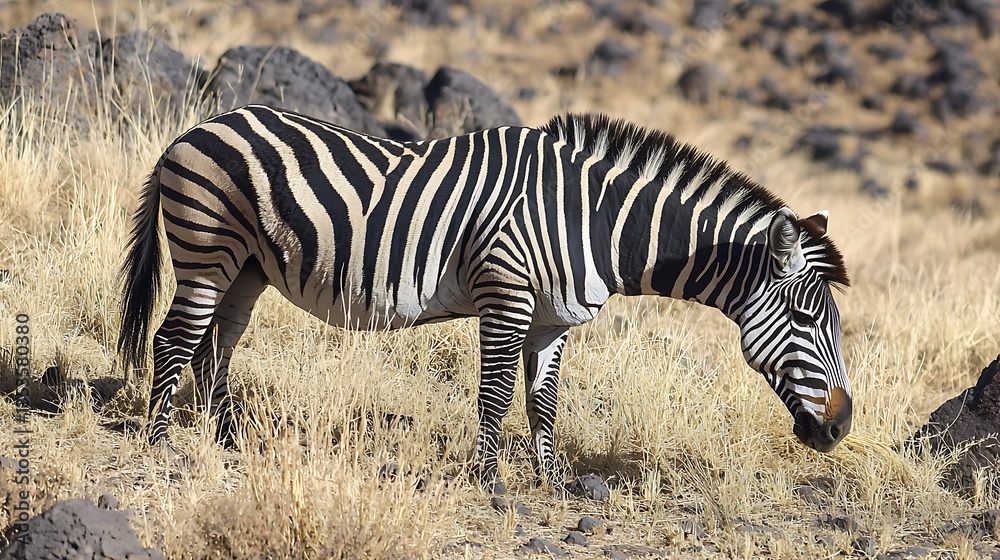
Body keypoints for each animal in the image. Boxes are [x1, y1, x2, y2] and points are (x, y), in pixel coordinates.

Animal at [117, 105, 852, 494]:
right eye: (804, 318)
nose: (841, 428)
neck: (595, 222)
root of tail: (193, 130)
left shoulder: (555, 320)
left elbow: (542, 402)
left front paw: (550, 480)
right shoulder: (507, 293)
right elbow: (495, 393)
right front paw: (491, 480)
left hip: (248, 266)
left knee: (216, 346)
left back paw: (227, 441)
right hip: (207, 249)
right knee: (173, 339)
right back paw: (160, 444)